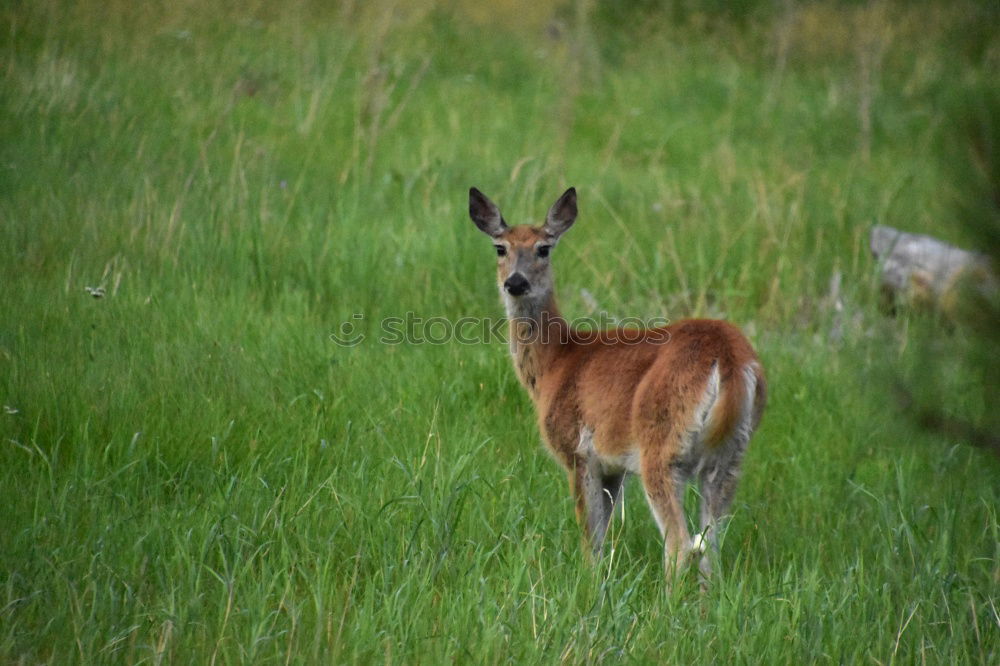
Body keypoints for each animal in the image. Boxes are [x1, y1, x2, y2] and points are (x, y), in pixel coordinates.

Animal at [466, 185, 764, 580]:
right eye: (500, 247)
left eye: (544, 248)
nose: (515, 282)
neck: (556, 364)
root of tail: (728, 355)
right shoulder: (612, 466)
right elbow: (604, 537)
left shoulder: (577, 451)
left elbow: (590, 539)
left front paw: (587, 584)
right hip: (731, 455)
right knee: (710, 548)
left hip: (662, 445)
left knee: (680, 545)